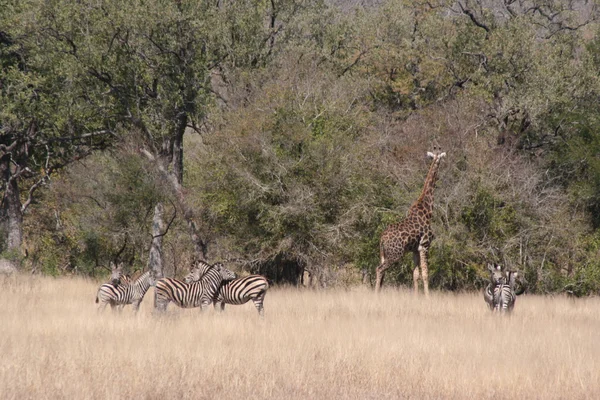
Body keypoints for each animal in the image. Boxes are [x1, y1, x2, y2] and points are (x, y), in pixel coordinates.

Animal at [376, 148, 446, 296]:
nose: (439, 161)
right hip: (395, 254)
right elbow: (425, 274)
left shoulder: (414, 249)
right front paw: (427, 297)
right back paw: (375, 295)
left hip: (384, 254)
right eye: (439, 158)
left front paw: (415, 297)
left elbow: (415, 275)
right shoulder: (425, 245)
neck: (427, 209)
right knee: (379, 269)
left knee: (382, 271)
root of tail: (382, 239)